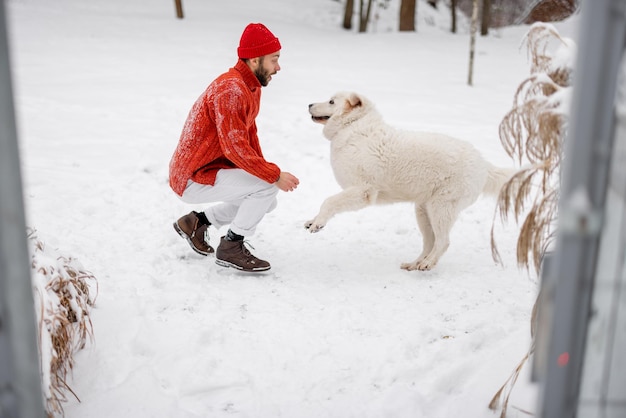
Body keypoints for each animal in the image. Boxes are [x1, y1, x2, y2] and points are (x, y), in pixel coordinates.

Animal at [304, 91, 516, 272]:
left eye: (331, 102)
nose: (309, 104)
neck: (352, 127)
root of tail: (484, 164)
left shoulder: (363, 191)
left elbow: (329, 201)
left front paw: (318, 224)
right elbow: (327, 203)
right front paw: (314, 220)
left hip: (440, 207)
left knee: (443, 241)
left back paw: (428, 263)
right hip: (423, 211)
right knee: (429, 243)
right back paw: (415, 263)